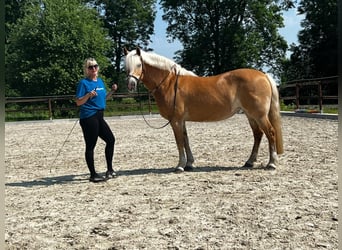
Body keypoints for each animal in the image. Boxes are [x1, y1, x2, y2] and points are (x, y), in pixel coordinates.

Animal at [123, 47, 284, 172]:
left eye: (139, 64)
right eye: (126, 66)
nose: (130, 85)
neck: (169, 83)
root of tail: (263, 75)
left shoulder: (175, 121)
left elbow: (179, 141)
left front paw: (180, 166)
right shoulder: (181, 121)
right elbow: (185, 140)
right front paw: (189, 164)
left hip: (259, 116)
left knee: (270, 133)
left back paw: (271, 163)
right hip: (251, 115)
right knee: (258, 135)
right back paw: (249, 162)